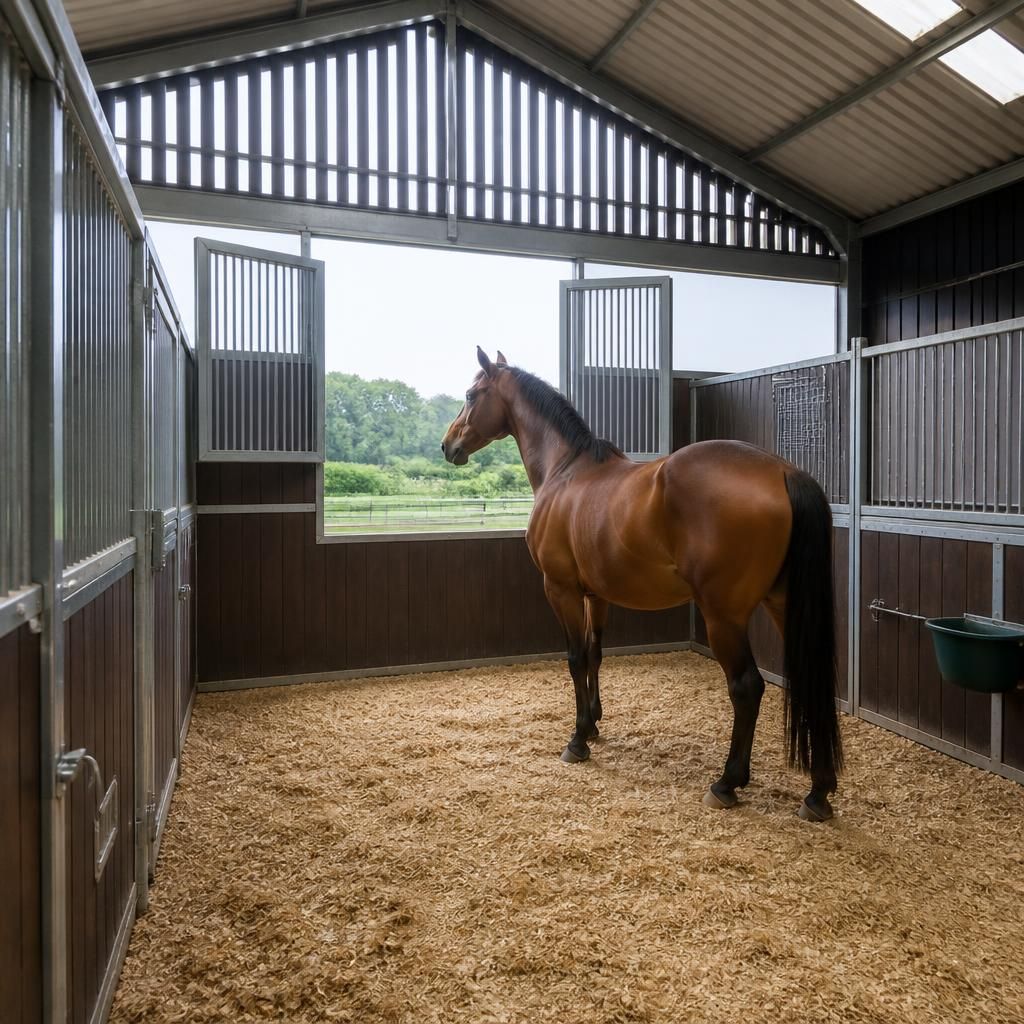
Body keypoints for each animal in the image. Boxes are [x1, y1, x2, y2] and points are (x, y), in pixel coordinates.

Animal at [441, 348, 842, 821]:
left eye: (471, 394)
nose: (448, 445)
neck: (565, 470)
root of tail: (783, 472)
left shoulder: (560, 589)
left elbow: (575, 658)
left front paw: (577, 741)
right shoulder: (595, 595)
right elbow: (594, 654)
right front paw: (594, 724)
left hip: (723, 616)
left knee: (747, 687)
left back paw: (726, 783)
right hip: (784, 603)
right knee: (811, 683)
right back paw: (818, 792)